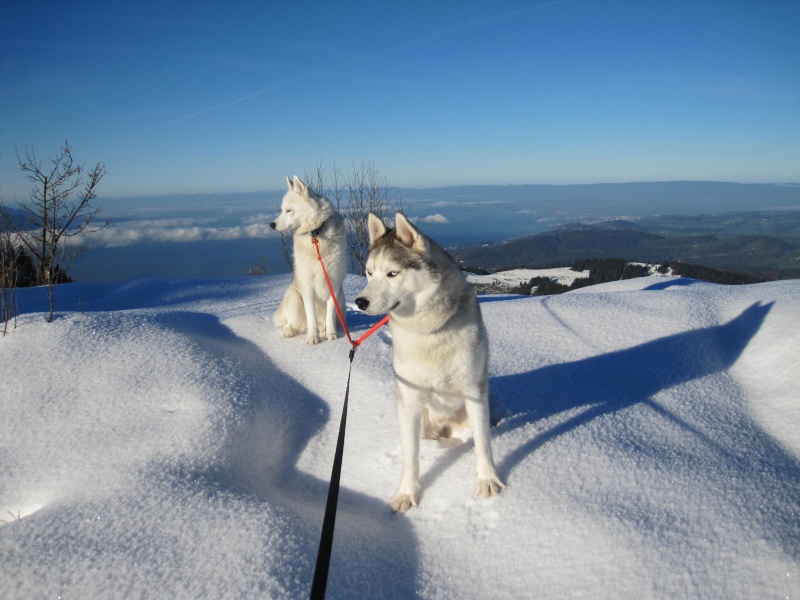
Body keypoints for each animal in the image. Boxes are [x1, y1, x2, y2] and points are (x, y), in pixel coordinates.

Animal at [270, 176, 346, 344]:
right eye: (282, 209)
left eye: (289, 210)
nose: (271, 224)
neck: (315, 234)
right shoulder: (308, 287)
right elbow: (310, 315)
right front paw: (313, 337)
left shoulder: (334, 285)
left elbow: (330, 313)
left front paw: (331, 334)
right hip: (294, 299)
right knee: (294, 323)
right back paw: (290, 331)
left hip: (342, 301)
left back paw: (324, 329)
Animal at [358, 211, 506, 510]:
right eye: (369, 272)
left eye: (393, 273)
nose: (360, 302)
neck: (429, 331)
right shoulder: (410, 400)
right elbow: (410, 456)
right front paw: (407, 493)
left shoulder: (473, 392)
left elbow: (483, 444)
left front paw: (487, 480)